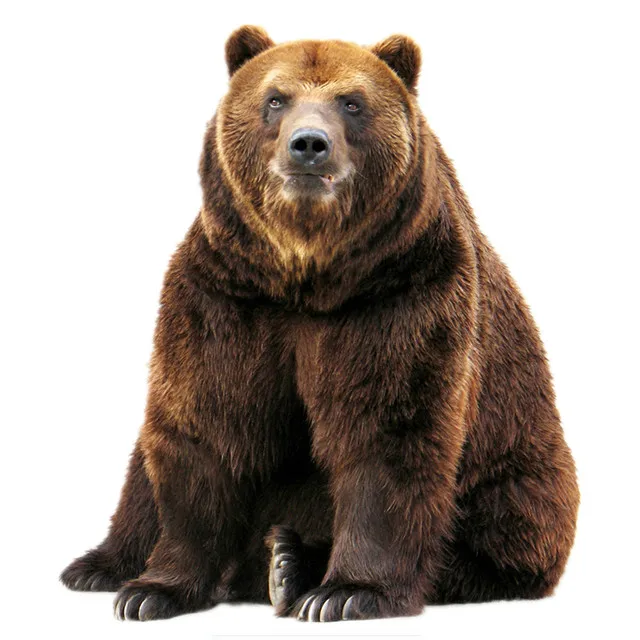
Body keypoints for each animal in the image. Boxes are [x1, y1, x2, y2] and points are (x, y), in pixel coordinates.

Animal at [61, 25, 580, 622]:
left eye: (352, 102)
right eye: (275, 98)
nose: (309, 144)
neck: (307, 274)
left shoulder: (400, 295)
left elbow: (387, 431)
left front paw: (348, 591)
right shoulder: (227, 296)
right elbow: (205, 424)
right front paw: (153, 590)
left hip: (519, 467)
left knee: (499, 526)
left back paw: (290, 563)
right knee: (142, 472)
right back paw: (101, 565)